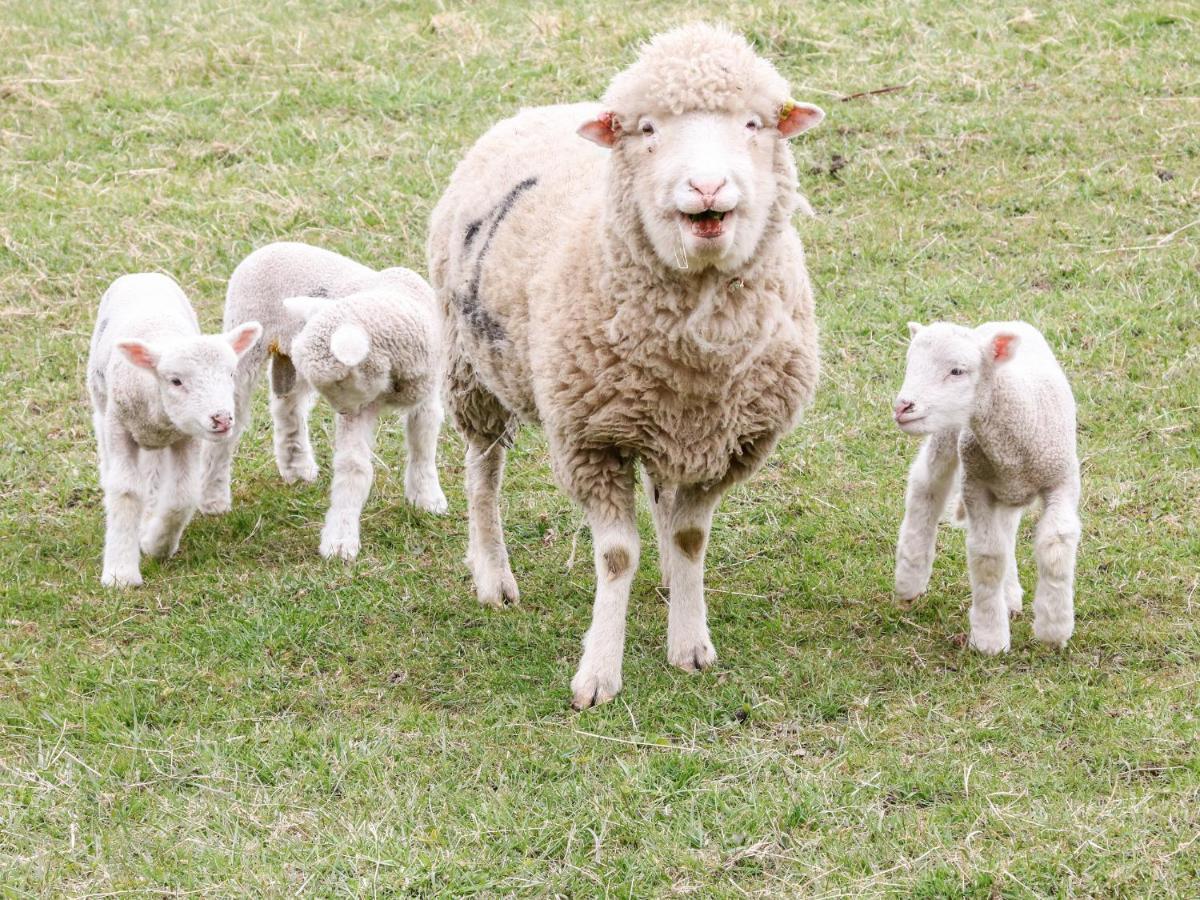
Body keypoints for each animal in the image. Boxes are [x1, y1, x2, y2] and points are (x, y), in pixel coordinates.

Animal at [88, 271, 265, 588]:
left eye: (231, 373)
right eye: (175, 381)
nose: (222, 419)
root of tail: (142, 274)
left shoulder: (186, 437)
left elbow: (182, 494)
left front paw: (156, 544)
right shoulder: (119, 429)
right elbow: (125, 491)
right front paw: (121, 574)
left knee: (155, 474)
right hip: (101, 403)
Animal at [201, 243, 451, 561]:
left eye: (341, 380)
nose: (342, 410)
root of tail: (265, 248)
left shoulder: (427, 395)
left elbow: (423, 446)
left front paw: (427, 498)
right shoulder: (361, 409)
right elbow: (353, 466)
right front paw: (341, 540)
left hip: (290, 357)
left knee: (288, 407)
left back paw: (296, 466)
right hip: (246, 344)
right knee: (229, 426)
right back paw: (213, 499)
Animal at [429, 22, 825, 710]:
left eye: (754, 124)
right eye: (647, 129)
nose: (707, 189)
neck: (695, 351)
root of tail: (543, 108)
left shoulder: (728, 443)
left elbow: (692, 539)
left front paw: (689, 642)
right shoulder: (590, 441)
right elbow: (615, 558)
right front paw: (598, 674)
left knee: (661, 497)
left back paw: (667, 575)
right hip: (471, 369)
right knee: (483, 472)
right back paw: (493, 574)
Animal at [892, 321, 1080, 657]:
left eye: (957, 370)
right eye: (910, 364)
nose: (903, 407)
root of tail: (1001, 323)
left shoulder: (1062, 480)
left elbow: (1055, 545)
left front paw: (1053, 628)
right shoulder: (975, 485)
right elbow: (988, 556)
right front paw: (989, 638)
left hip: (1005, 487)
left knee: (1006, 527)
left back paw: (1010, 596)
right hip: (947, 434)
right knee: (926, 487)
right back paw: (910, 578)